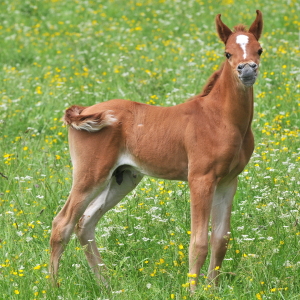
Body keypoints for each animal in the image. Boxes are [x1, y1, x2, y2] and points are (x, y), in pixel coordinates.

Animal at [49, 10, 262, 290]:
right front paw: (194, 291)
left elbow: (220, 239)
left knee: (85, 223)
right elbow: (198, 243)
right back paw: (53, 286)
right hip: (90, 174)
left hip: (123, 178)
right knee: (62, 223)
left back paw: (107, 285)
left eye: (259, 50)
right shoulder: (200, 179)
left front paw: (213, 289)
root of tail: (83, 111)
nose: (247, 69)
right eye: (227, 53)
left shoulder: (228, 180)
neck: (221, 118)